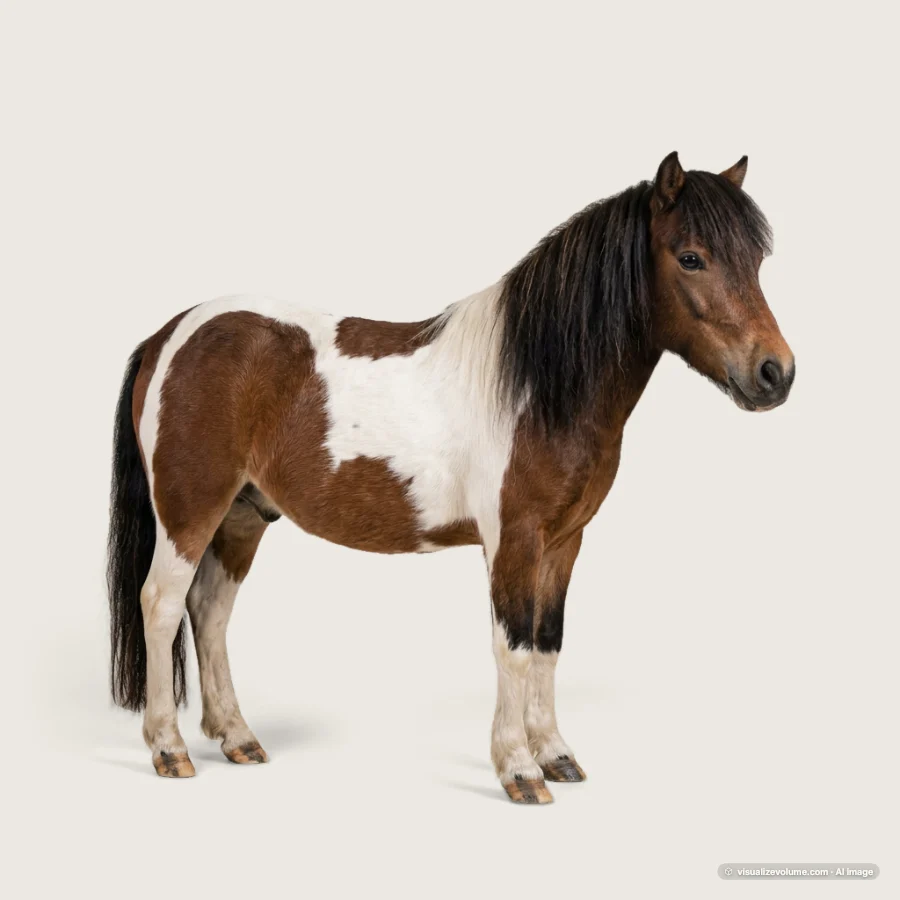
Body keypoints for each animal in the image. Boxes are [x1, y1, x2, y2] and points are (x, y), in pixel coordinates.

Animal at [107, 151, 794, 803]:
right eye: (691, 257)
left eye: (757, 258)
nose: (775, 373)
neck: (536, 386)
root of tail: (168, 335)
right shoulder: (513, 541)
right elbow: (513, 646)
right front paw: (519, 770)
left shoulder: (563, 543)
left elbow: (548, 642)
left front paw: (556, 754)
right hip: (190, 512)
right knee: (161, 604)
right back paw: (169, 749)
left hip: (243, 516)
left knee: (209, 611)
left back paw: (237, 737)